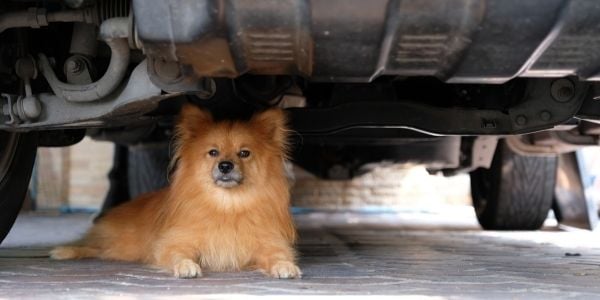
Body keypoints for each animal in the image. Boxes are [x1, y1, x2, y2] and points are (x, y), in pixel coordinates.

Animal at [49, 105, 302, 278]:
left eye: (244, 153)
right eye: (213, 152)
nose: (225, 166)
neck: (227, 206)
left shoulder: (269, 243)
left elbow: (278, 255)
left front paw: (285, 266)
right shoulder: (174, 243)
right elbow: (177, 254)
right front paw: (186, 266)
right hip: (120, 244)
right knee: (94, 246)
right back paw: (65, 251)